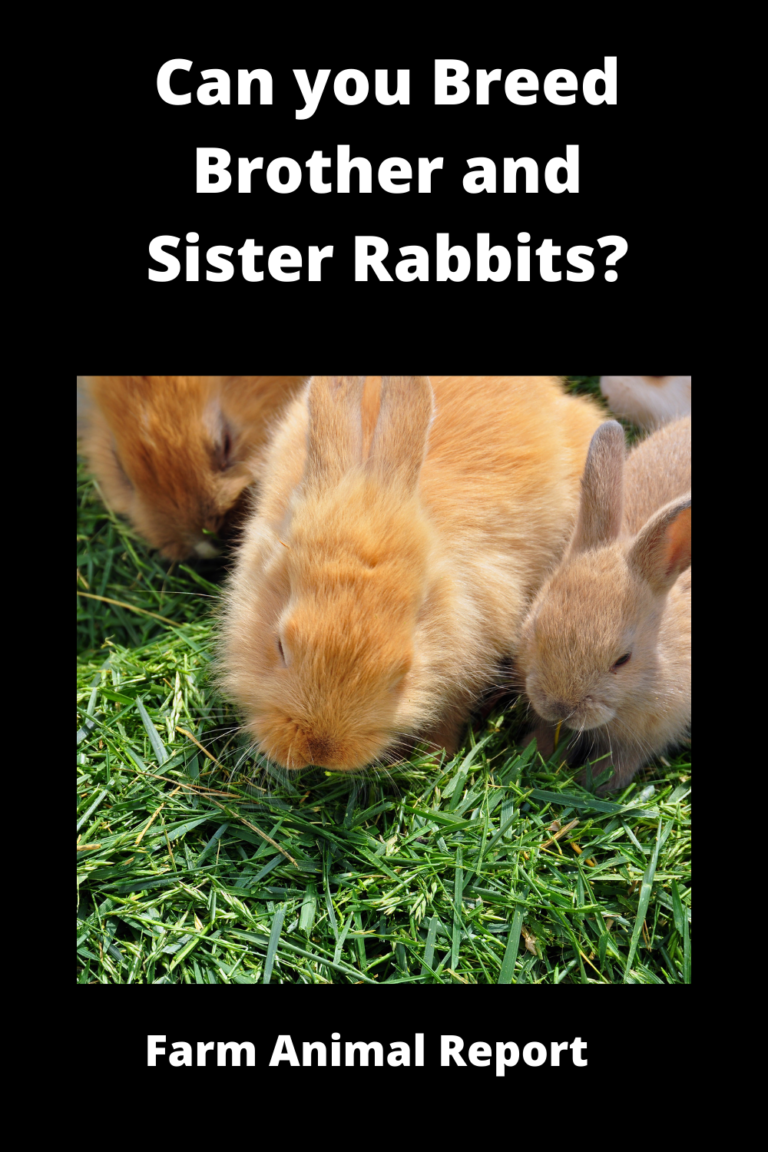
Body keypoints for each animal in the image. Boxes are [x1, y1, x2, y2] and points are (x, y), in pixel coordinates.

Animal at [519, 416, 691, 791]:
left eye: (623, 660)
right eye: (535, 628)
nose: (560, 707)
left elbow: (621, 760)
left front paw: (595, 783)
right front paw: (536, 752)